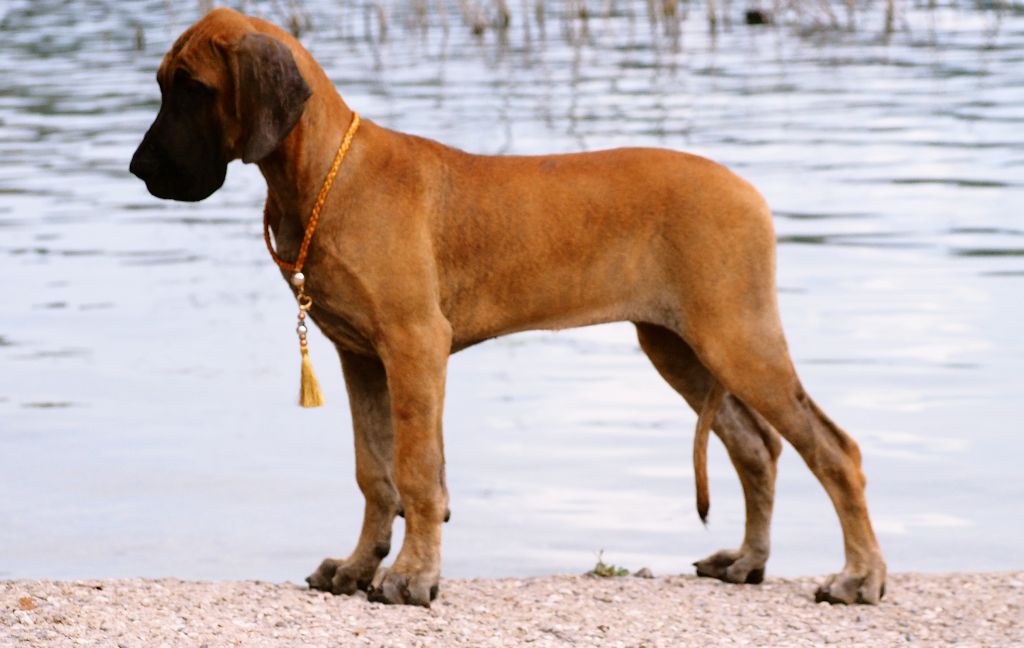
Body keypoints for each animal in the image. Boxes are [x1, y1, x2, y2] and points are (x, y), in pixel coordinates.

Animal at [130, 8, 886, 607]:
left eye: (192, 90)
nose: (139, 170)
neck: (323, 175)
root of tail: (749, 192)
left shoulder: (415, 347)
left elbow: (416, 472)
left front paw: (412, 578)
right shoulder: (361, 358)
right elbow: (375, 474)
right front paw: (357, 567)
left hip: (736, 338)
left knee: (834, 450)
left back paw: (860, 579)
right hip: (678, 345)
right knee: (757, 448)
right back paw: (750, 561)